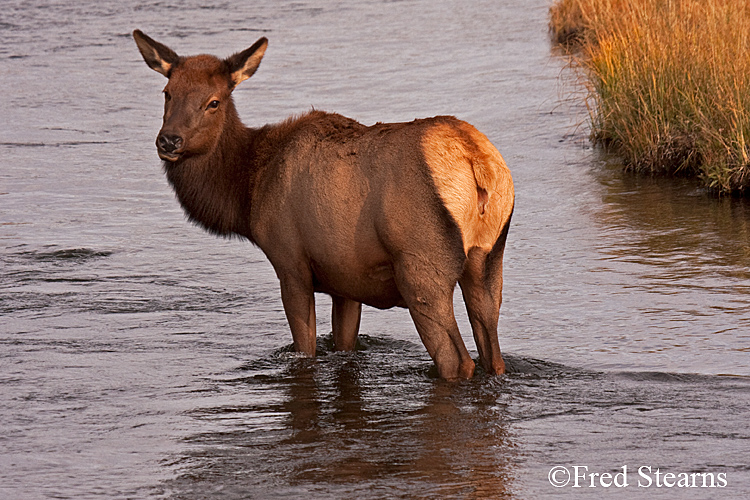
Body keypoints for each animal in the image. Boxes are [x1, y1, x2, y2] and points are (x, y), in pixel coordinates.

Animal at [132, 30, 516, 378]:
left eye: (214, 101)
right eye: (168, 93)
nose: (169, 140)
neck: (249, 189)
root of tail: (476, 161)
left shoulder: (290, 263)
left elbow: (306, 348)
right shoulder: (346, 280)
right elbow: (344, 344)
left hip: (421, 267)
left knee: (458, 362)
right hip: (489, 259)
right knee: (493, 356)